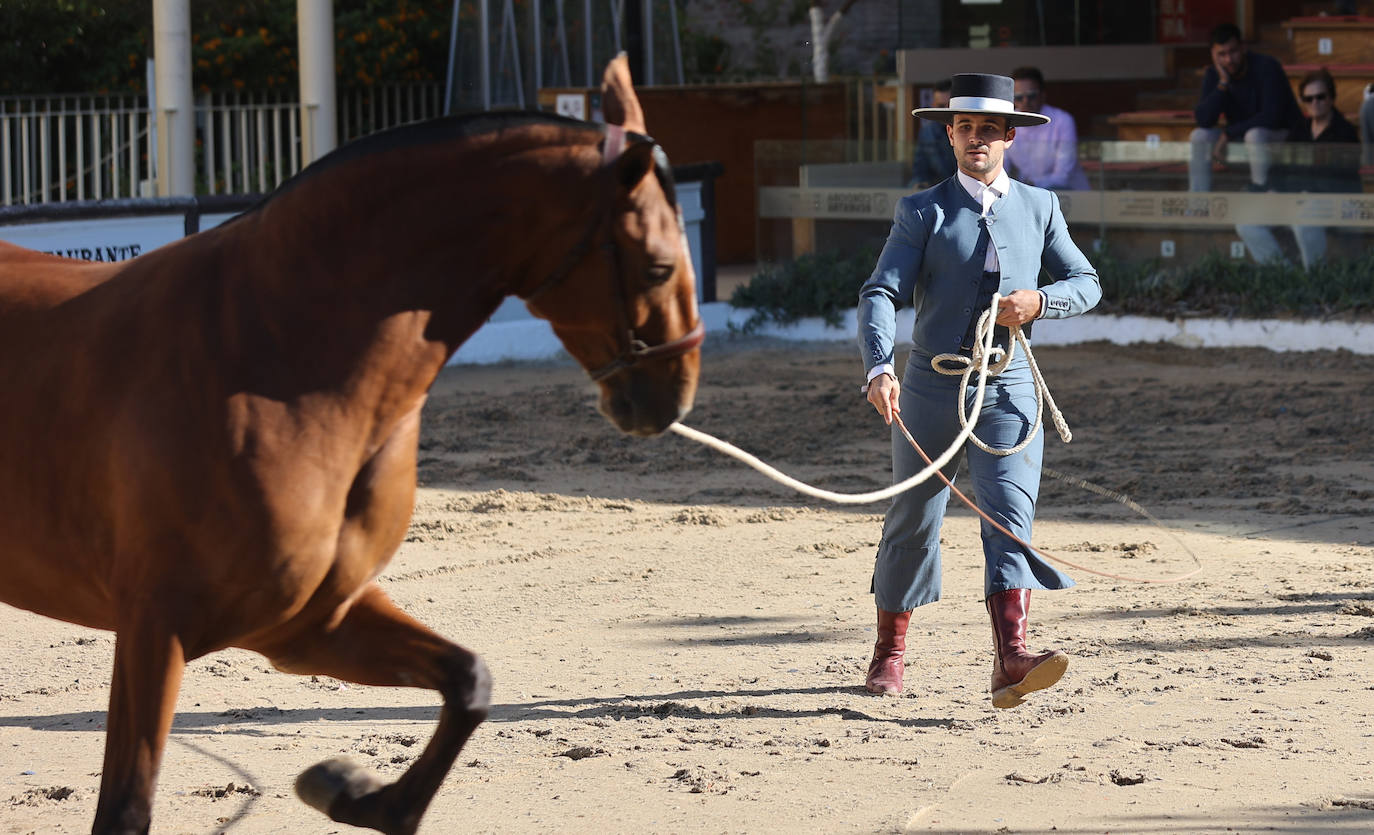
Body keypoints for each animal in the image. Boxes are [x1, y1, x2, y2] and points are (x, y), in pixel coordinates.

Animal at [0, 55, 703, 829]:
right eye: (658, 266)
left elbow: (470, 682)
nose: (676, 390)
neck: (272, 353)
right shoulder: (158, 627)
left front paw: (355, 791)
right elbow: (126, 809)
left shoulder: (309, 623)